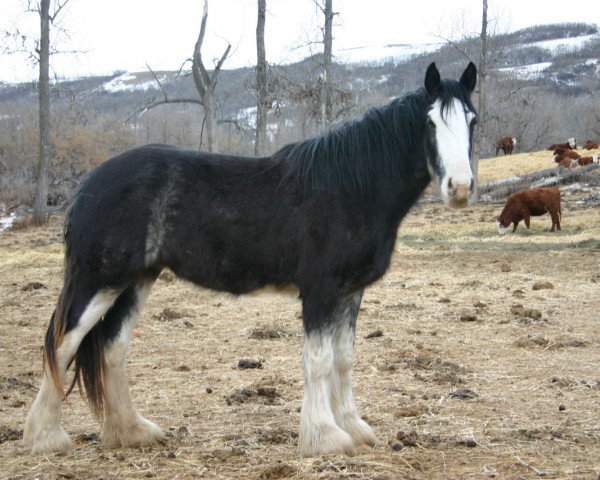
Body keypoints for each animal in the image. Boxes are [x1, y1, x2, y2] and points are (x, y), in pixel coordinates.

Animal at [24, 62, 478, 456]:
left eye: (472, 121)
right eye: (431, 123)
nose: (459, 187)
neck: (351, 187)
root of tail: (87, 185)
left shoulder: (351, 293)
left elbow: (344, 360)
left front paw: (353, 426)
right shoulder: (321, 291)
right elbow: (318, 361)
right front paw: (325, 437)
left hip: (135, 281)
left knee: (112, 349)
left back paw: (132, 431)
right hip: (99, 281)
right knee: (61, 344)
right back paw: (45, 437)